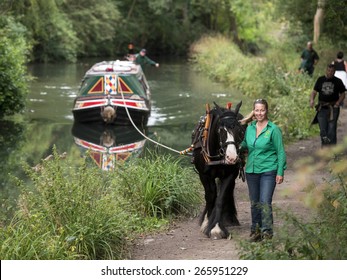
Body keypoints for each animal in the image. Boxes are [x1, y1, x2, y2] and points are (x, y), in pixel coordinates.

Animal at [192, 100, 251, 238]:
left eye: (239, 130)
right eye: (220, 130)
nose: (231, 156)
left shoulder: (229, 174)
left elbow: (221, 198)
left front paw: (217, 228)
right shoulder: (204, 176)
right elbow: (210, 197)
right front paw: (207, 223)